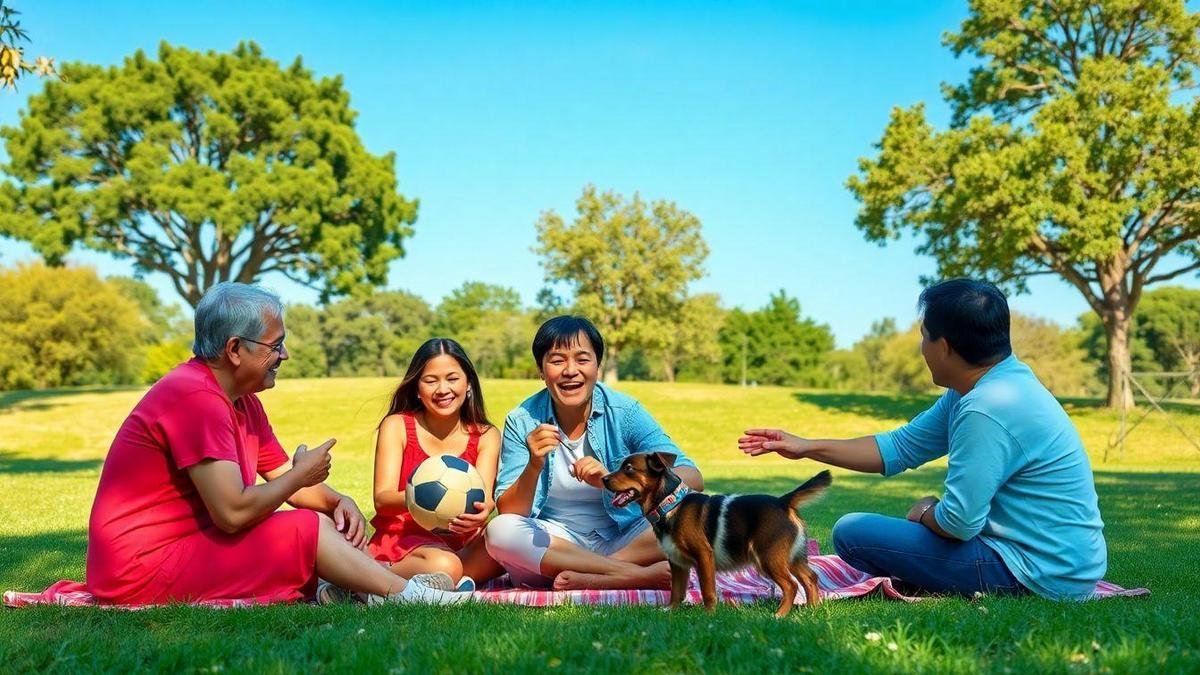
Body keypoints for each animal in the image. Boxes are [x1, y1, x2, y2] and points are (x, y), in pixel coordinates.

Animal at [604, 451, 830, 614]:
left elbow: (708, 589)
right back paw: (811, 610)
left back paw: (780, 615)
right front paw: (670, 611)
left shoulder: (704, 557)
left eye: (628, 468)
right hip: (792, 557)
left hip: (768, 557)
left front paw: (709, 615)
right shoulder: (677, 563)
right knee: (810, 578)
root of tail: (783, 501)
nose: (604, 478)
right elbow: (676, 590)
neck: (670, 505)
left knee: (791, 586)